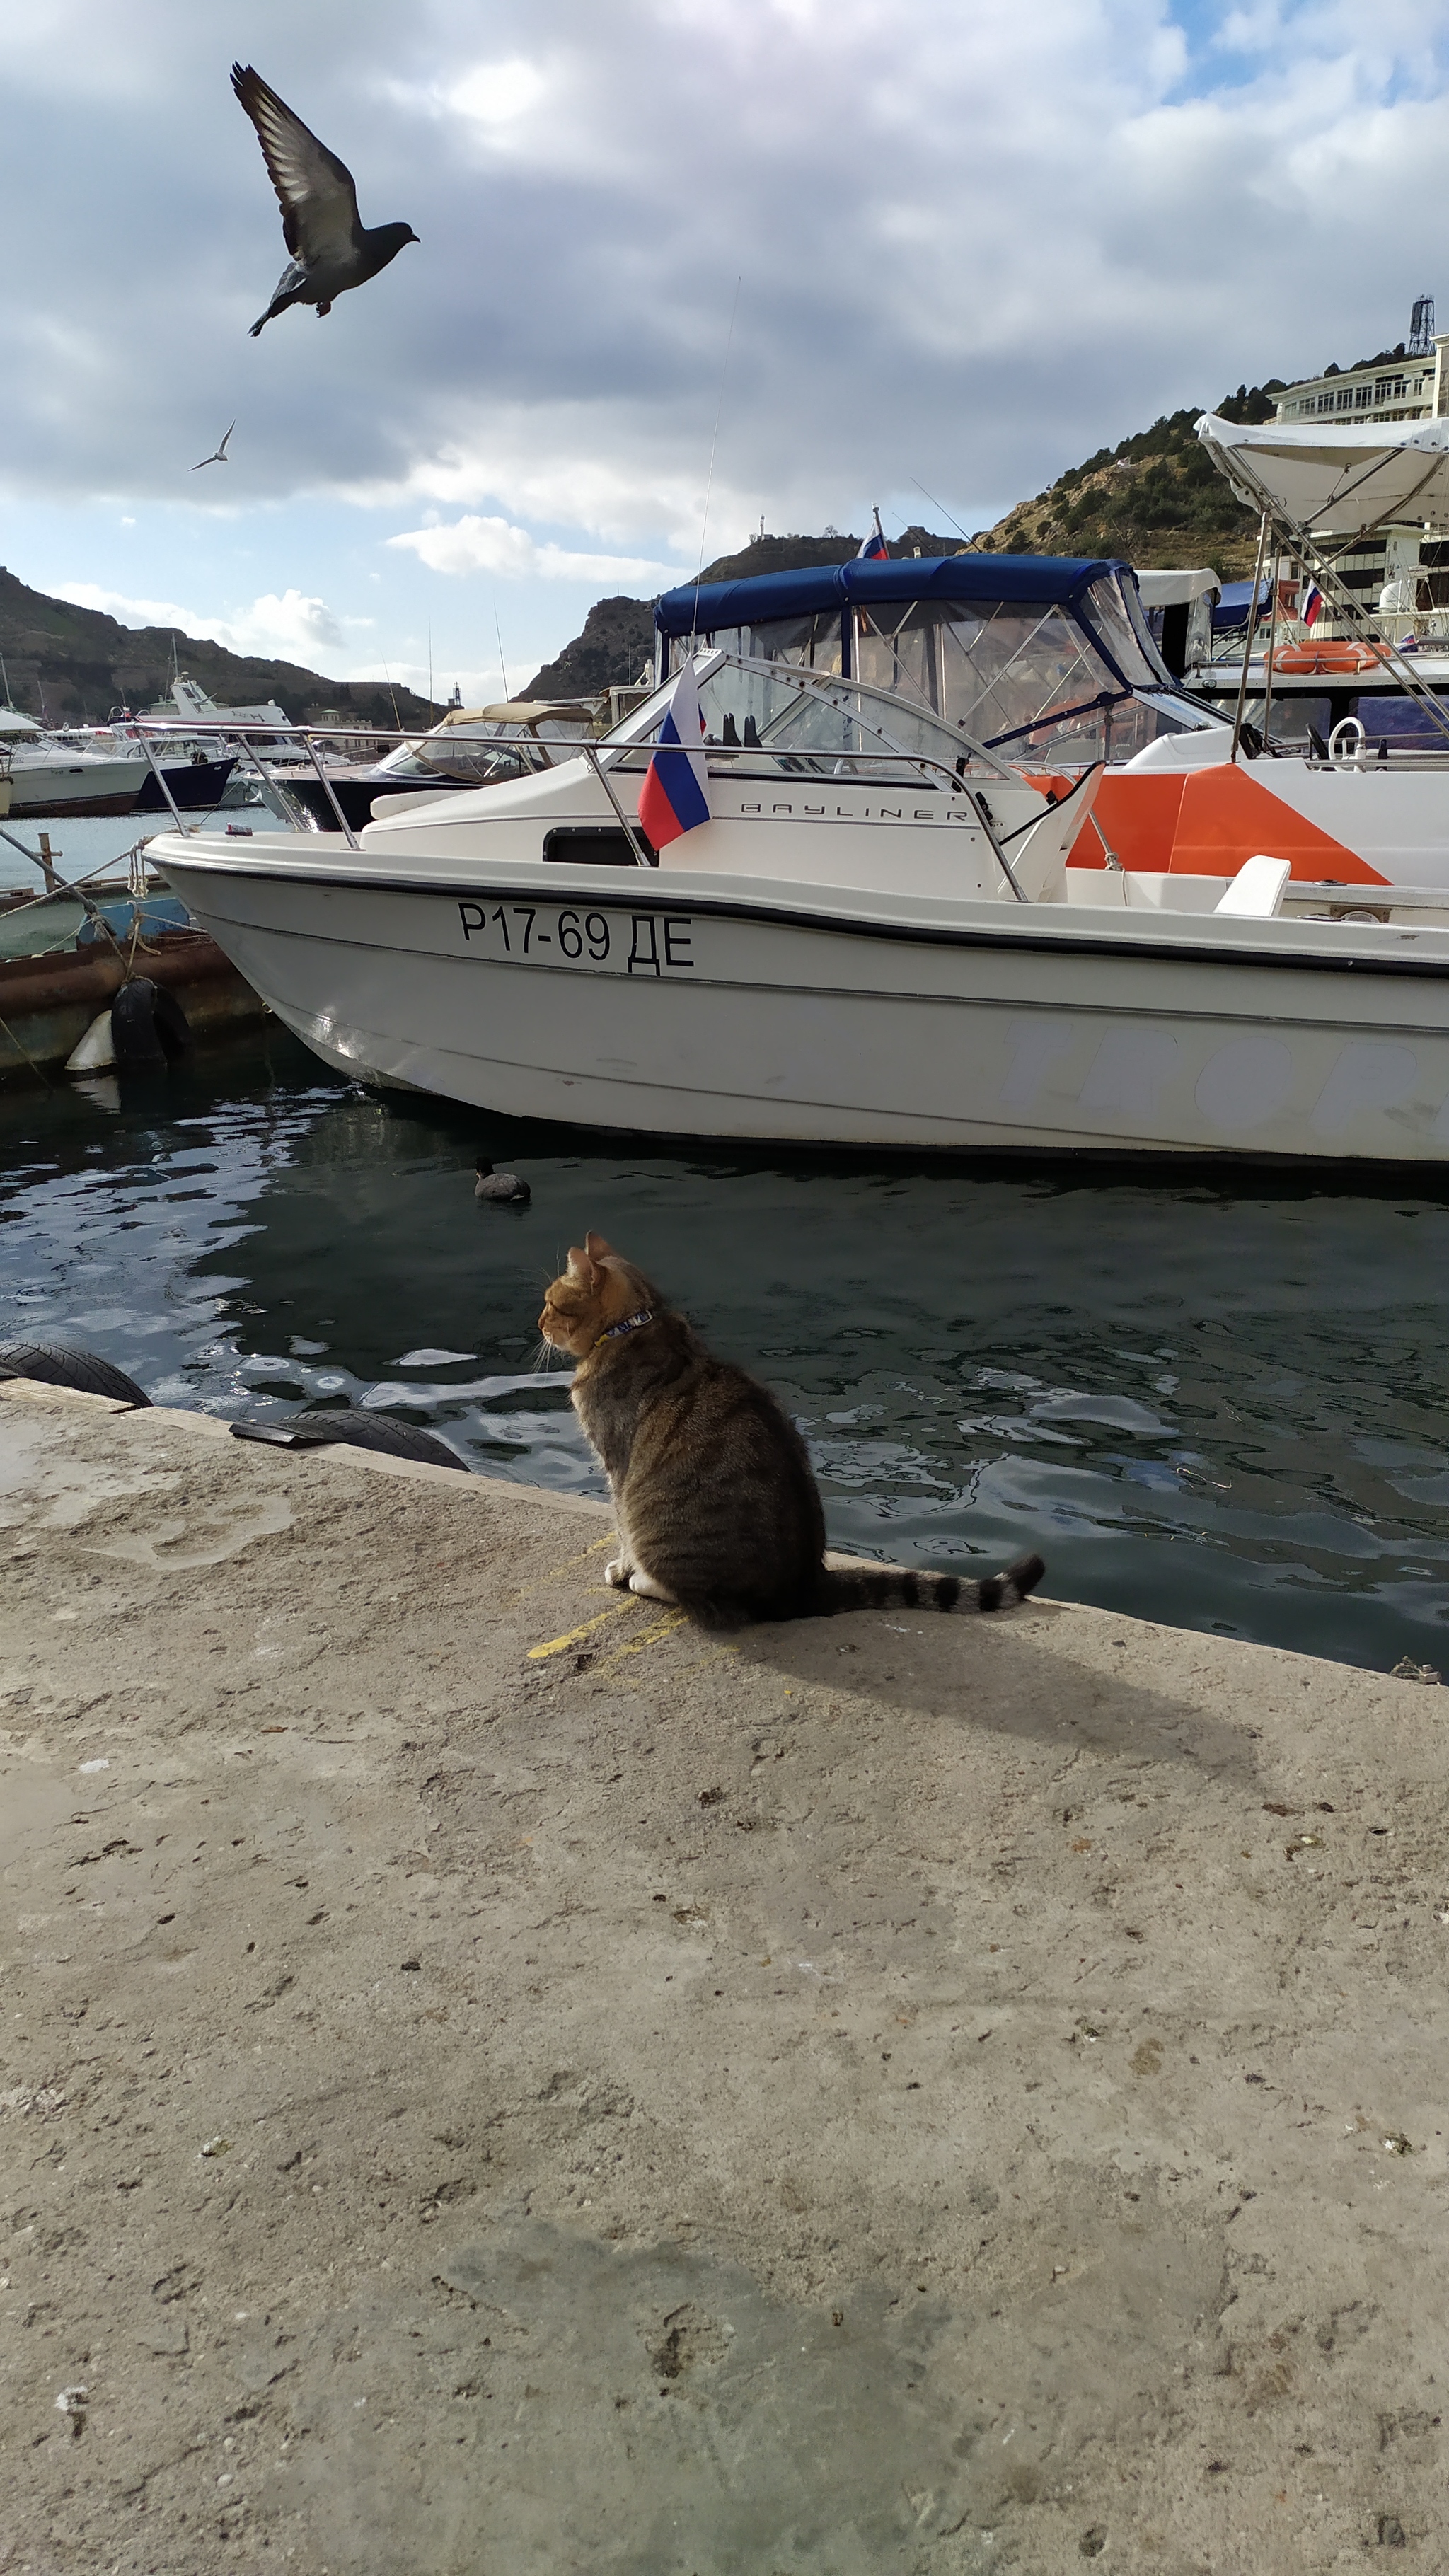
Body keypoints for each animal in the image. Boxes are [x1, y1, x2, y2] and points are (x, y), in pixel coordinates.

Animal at [536, 1231, 1041, 1628]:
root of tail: (806, 1586)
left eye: (551, 1304)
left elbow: (620, 1526)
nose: (538, 1323)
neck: (630, 1327)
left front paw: (622, 1569)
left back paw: (646, 1580)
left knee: (715, 1604)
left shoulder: (616, 1465)